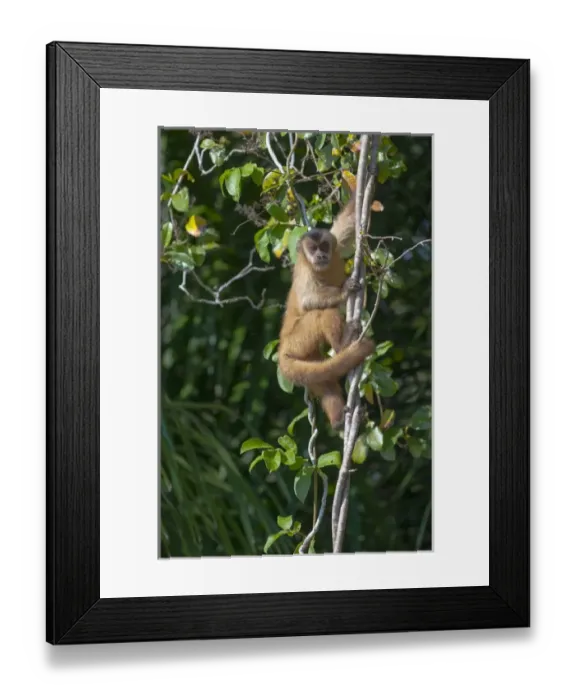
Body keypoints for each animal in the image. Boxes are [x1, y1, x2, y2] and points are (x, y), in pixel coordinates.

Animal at [277, 195, 375, 430]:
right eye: (313, 249)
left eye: (323, 246)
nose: (321, 255)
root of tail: (282, 347)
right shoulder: (303, 270)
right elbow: (307, 300)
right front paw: (344, 291)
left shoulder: (336, 246)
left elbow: (348, 223)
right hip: (297, 340)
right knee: (321, 314)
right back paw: (343, 345)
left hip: (305, 351)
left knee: (322, 378)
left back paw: (339, 421)